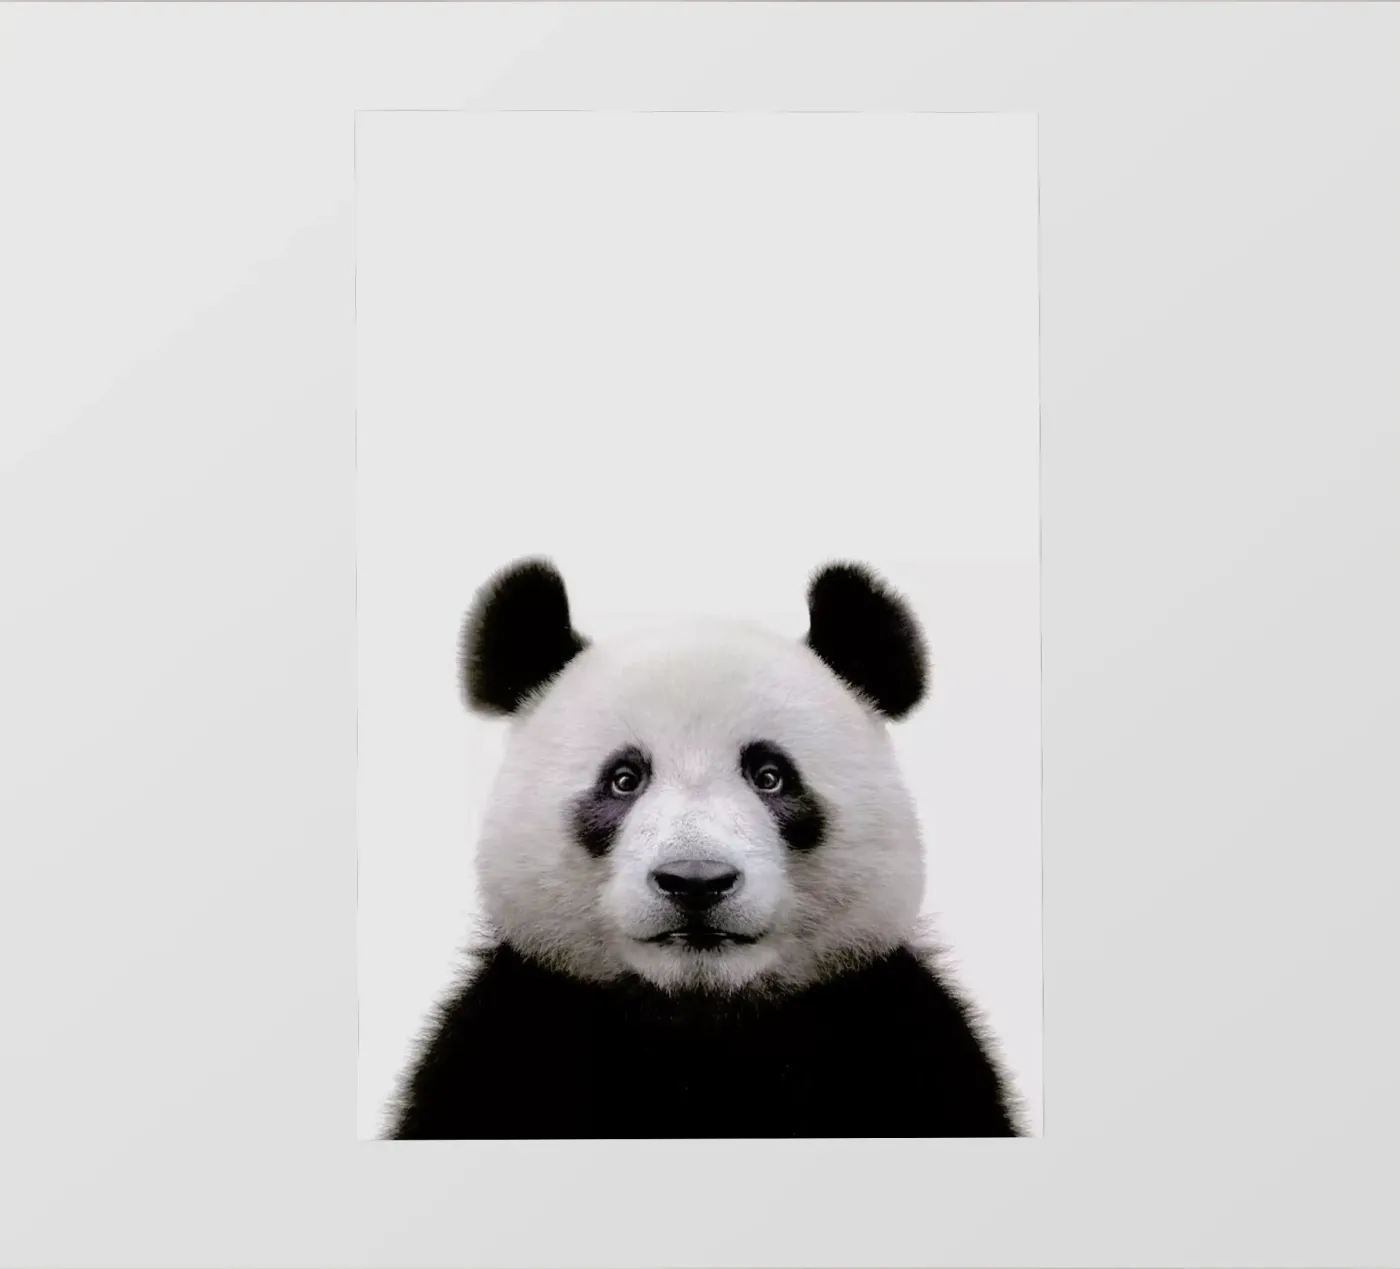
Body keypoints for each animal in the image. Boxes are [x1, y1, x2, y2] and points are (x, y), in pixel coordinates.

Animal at [387, 557, 1021, 1139]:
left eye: (770, 776)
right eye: (624, 779)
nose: (696, 880)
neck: (699, 1023)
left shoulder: (901, 1038)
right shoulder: (507, 1036)